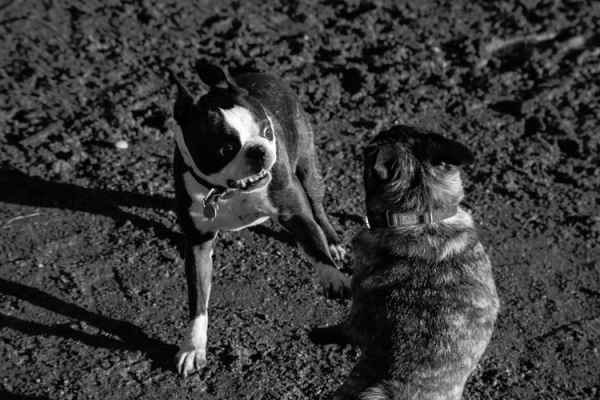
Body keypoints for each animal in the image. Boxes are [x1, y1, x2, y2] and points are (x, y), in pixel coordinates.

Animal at [170, 62, 351, 377]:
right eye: (226, 149)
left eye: (267, 131)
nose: (259, 149)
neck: (226, 192)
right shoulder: (197, 245)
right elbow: (198, 299)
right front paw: (193, 347)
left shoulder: (295, 215)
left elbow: (316, 245)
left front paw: (333, 277)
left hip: (308, 165)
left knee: (318, 207)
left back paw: (334, 242)